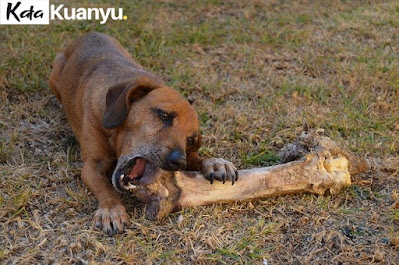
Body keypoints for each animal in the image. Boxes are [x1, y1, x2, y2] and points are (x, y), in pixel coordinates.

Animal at [48, 32, 239, 234]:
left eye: (190, 140)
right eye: (163, 115)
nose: (179, 162)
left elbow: (197, 158)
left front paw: (215, 163)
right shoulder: (91, 166)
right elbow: (105, 187)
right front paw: (112, 210)